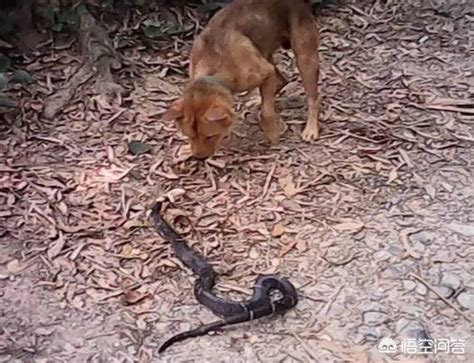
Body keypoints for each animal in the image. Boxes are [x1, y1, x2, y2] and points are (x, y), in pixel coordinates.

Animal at [162, 0, 318, 159]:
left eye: (210, 136)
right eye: (189, 136)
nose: (200, 158)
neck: (214, 70)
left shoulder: (266, 72)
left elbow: (267, 113)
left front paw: (273, 135)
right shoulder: (266, 71)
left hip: (304, 59)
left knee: (312, 98)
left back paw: (311, 129)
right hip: (264, 52)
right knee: (282, 80)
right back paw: (258, 99)